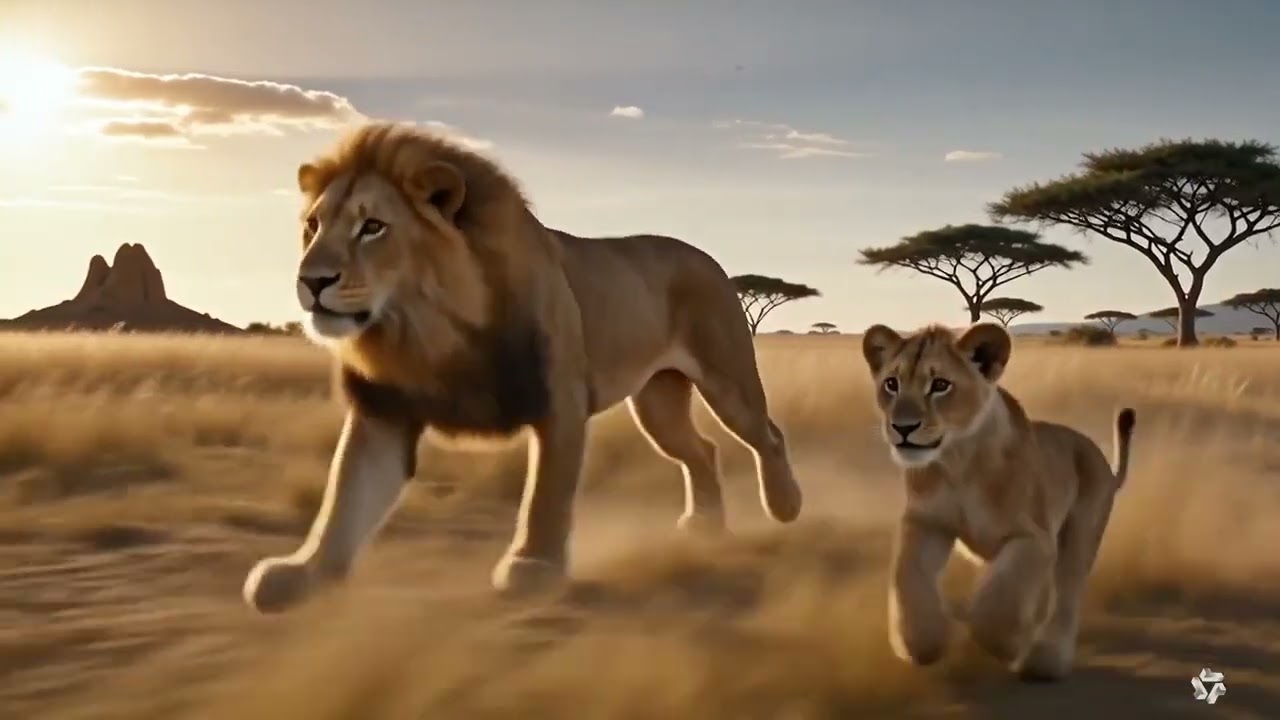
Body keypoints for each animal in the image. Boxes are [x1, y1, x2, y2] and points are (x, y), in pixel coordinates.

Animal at [241, 121, 803, 613]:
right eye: (313, 226)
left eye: (372, 227)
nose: (311, 280)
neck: (425, 335)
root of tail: (707, 257)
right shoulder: (383, 414)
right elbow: (343, 501)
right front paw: (302, 574)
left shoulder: (560, 401)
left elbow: (545, 496)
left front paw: (533, 568)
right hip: (658, 404)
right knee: (702, 451)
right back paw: (705, 526)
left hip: (727, 381)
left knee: (767, 435)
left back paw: (786, 506)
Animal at [859, 322, 1136, 681]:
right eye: (892, 384)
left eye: (940, 385)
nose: (902, 427)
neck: (958, 461)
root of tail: (1098, 455)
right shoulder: (927, 523)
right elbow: (909, 578)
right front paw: (922, 643)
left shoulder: (1034, 537)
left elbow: (1002, 596)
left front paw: (1006, 645)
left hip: (1080, 534)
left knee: (1066, 595)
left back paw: (1045, 661)